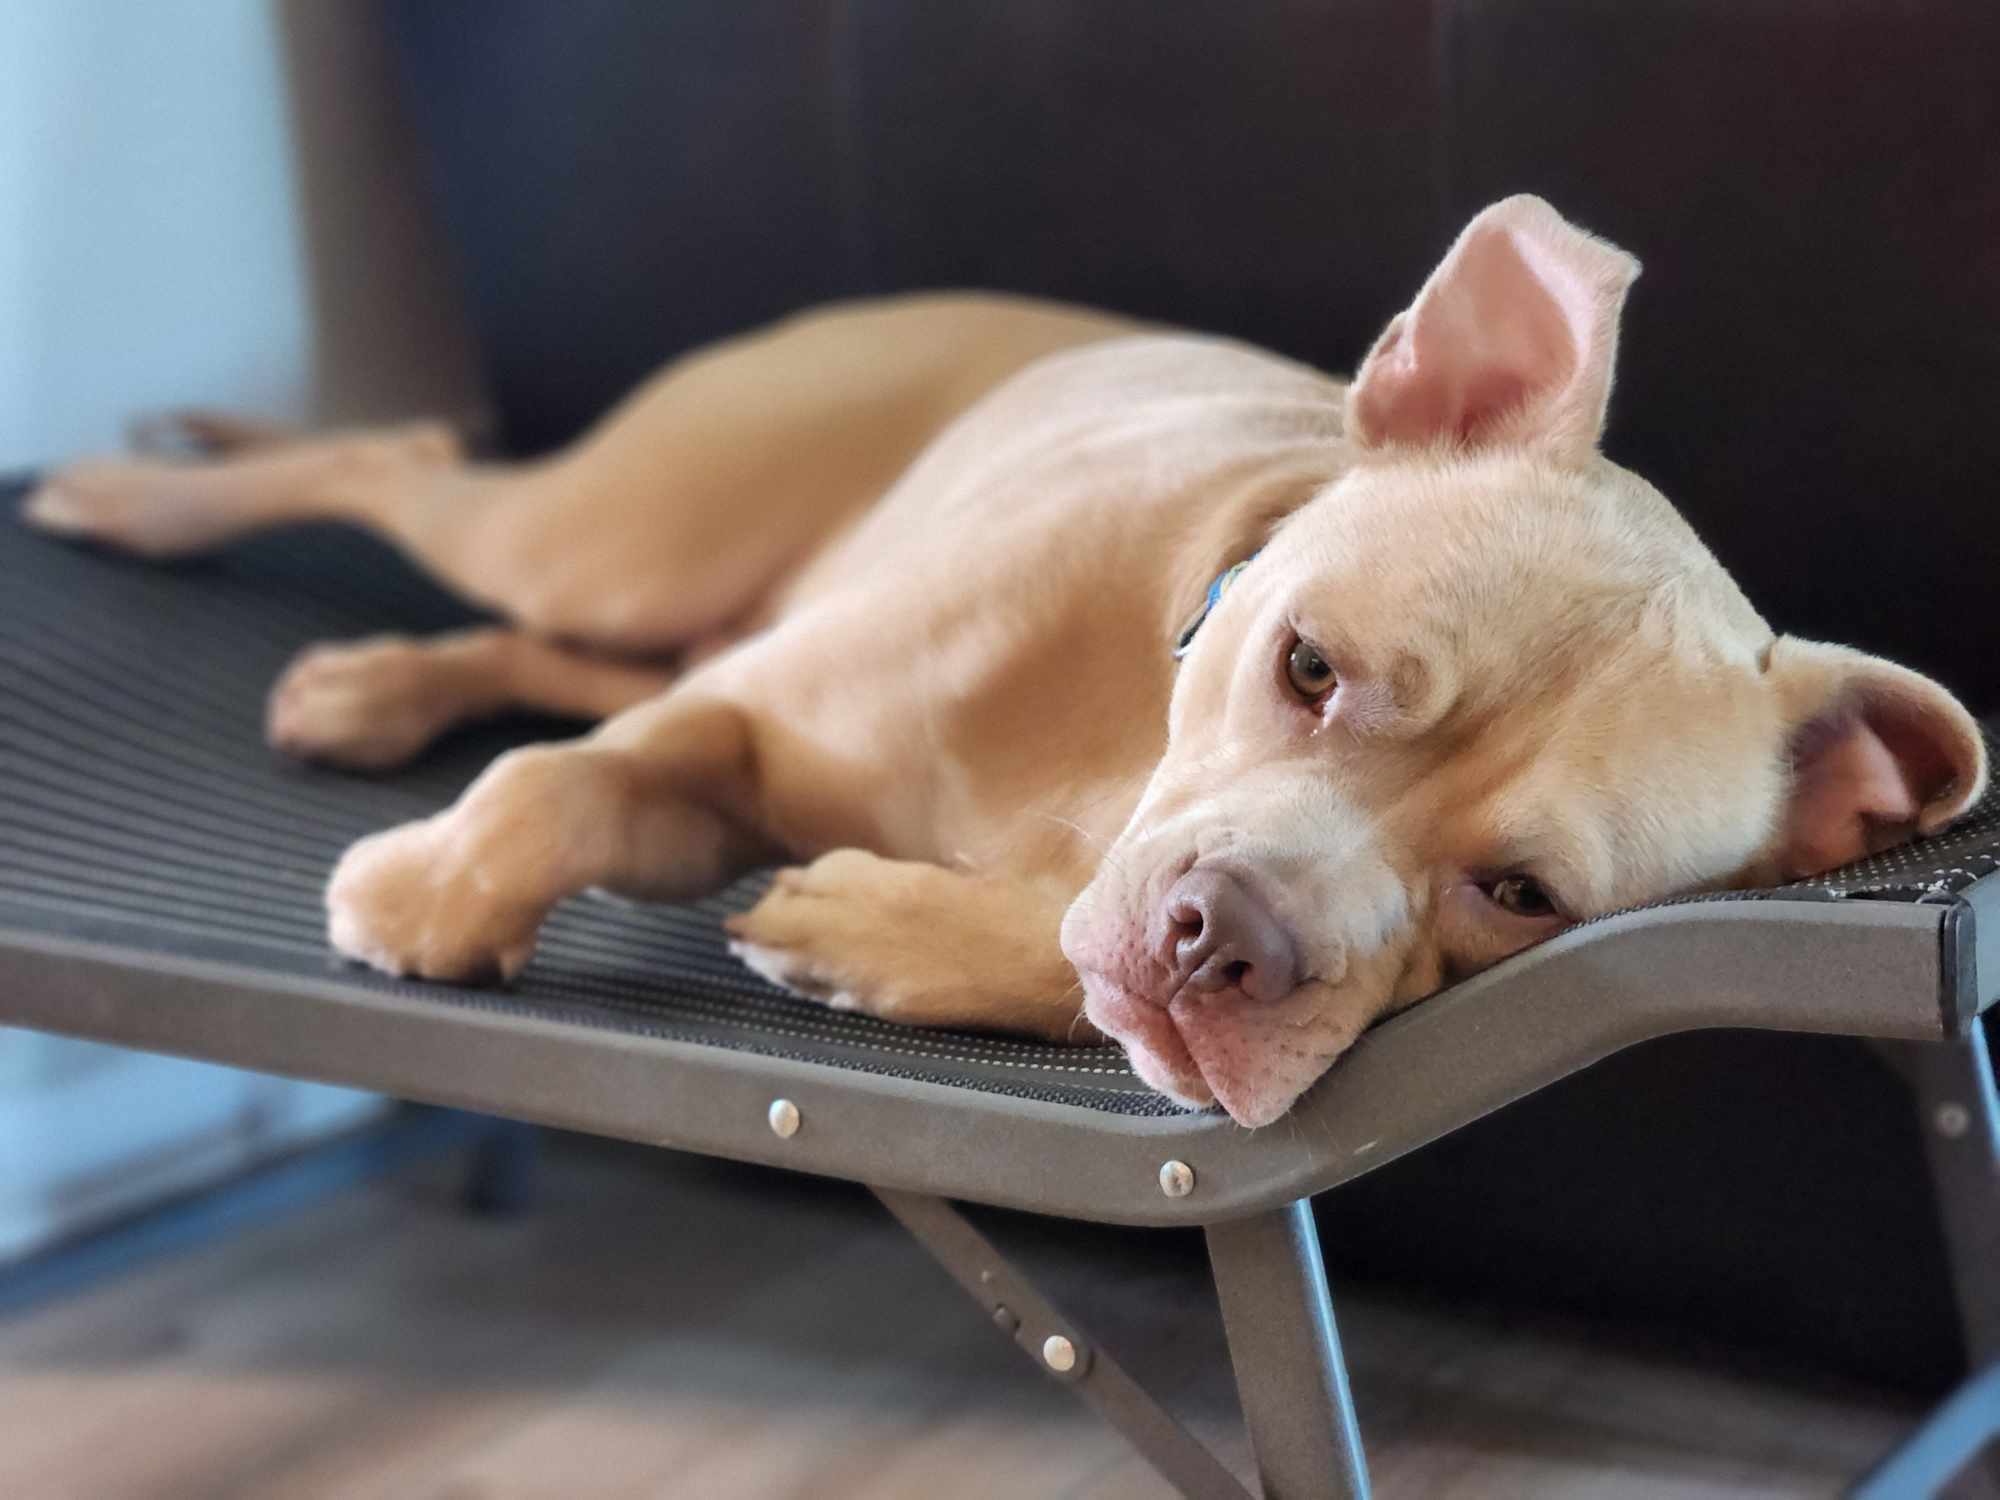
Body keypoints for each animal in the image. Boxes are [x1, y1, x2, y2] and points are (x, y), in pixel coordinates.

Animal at [19, 197, 1984, 1128]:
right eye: (1310, 667)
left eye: (1521, 897)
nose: (1225, 944)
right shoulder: (736, 730)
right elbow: (561, 785)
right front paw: (431, 893)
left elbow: (1040, 954)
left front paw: (870, 930)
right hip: (629, 533)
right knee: (416, 474)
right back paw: (135, 497)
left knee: (545, 643)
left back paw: (368, 685)